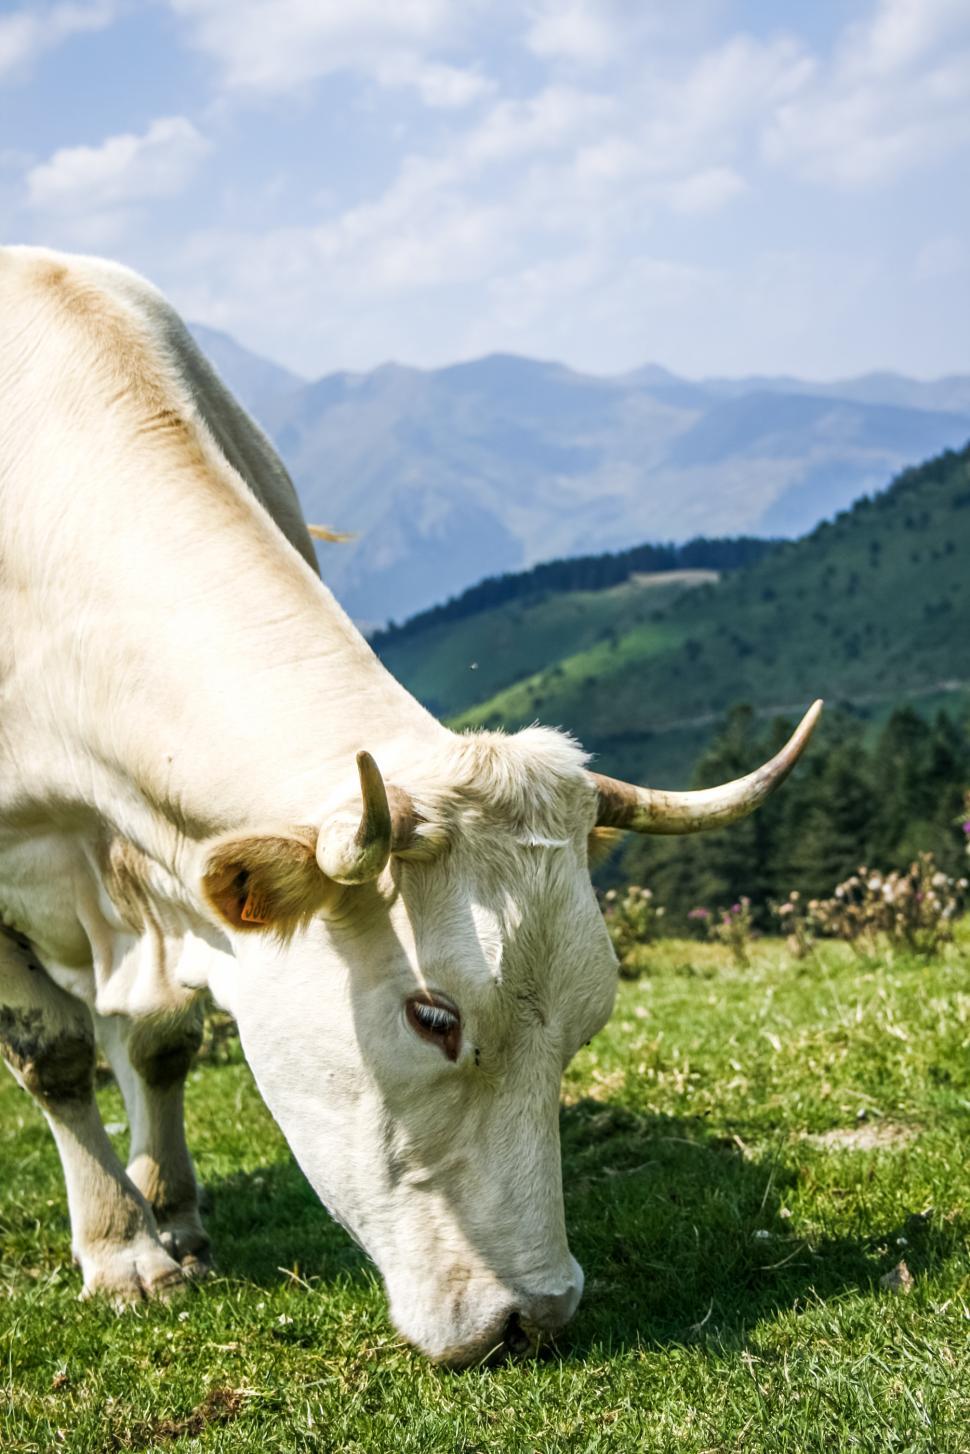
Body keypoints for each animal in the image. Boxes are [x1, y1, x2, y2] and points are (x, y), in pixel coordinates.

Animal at [0, 246, 821, 1365]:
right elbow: (54, 1052)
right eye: (433, 1016)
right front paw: (126, 1253)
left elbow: (161, 1040)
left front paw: (172, 1218)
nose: (534, 1315)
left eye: (587, 1020)